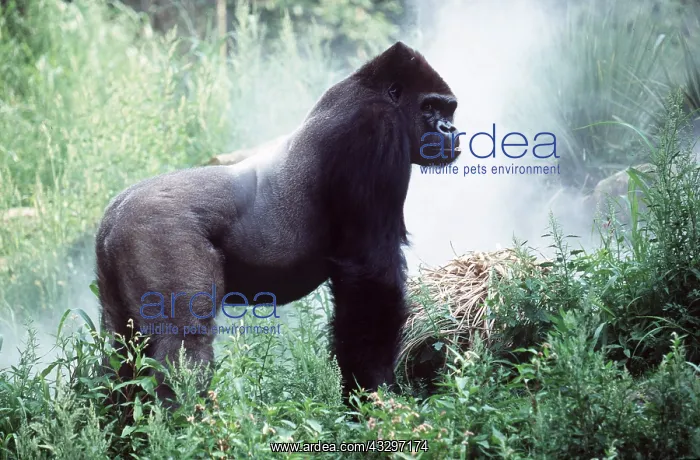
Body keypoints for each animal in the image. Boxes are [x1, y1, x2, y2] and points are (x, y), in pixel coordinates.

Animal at [95, 41, 462, 404]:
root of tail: (113, 216)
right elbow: (371, 275)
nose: (450, 131)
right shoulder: (376, 131)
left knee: (121, 347)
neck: (370, 90)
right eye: (430, 106)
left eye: (449, 110)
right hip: (159, 232)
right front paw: (372, 393)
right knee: (184, 341)